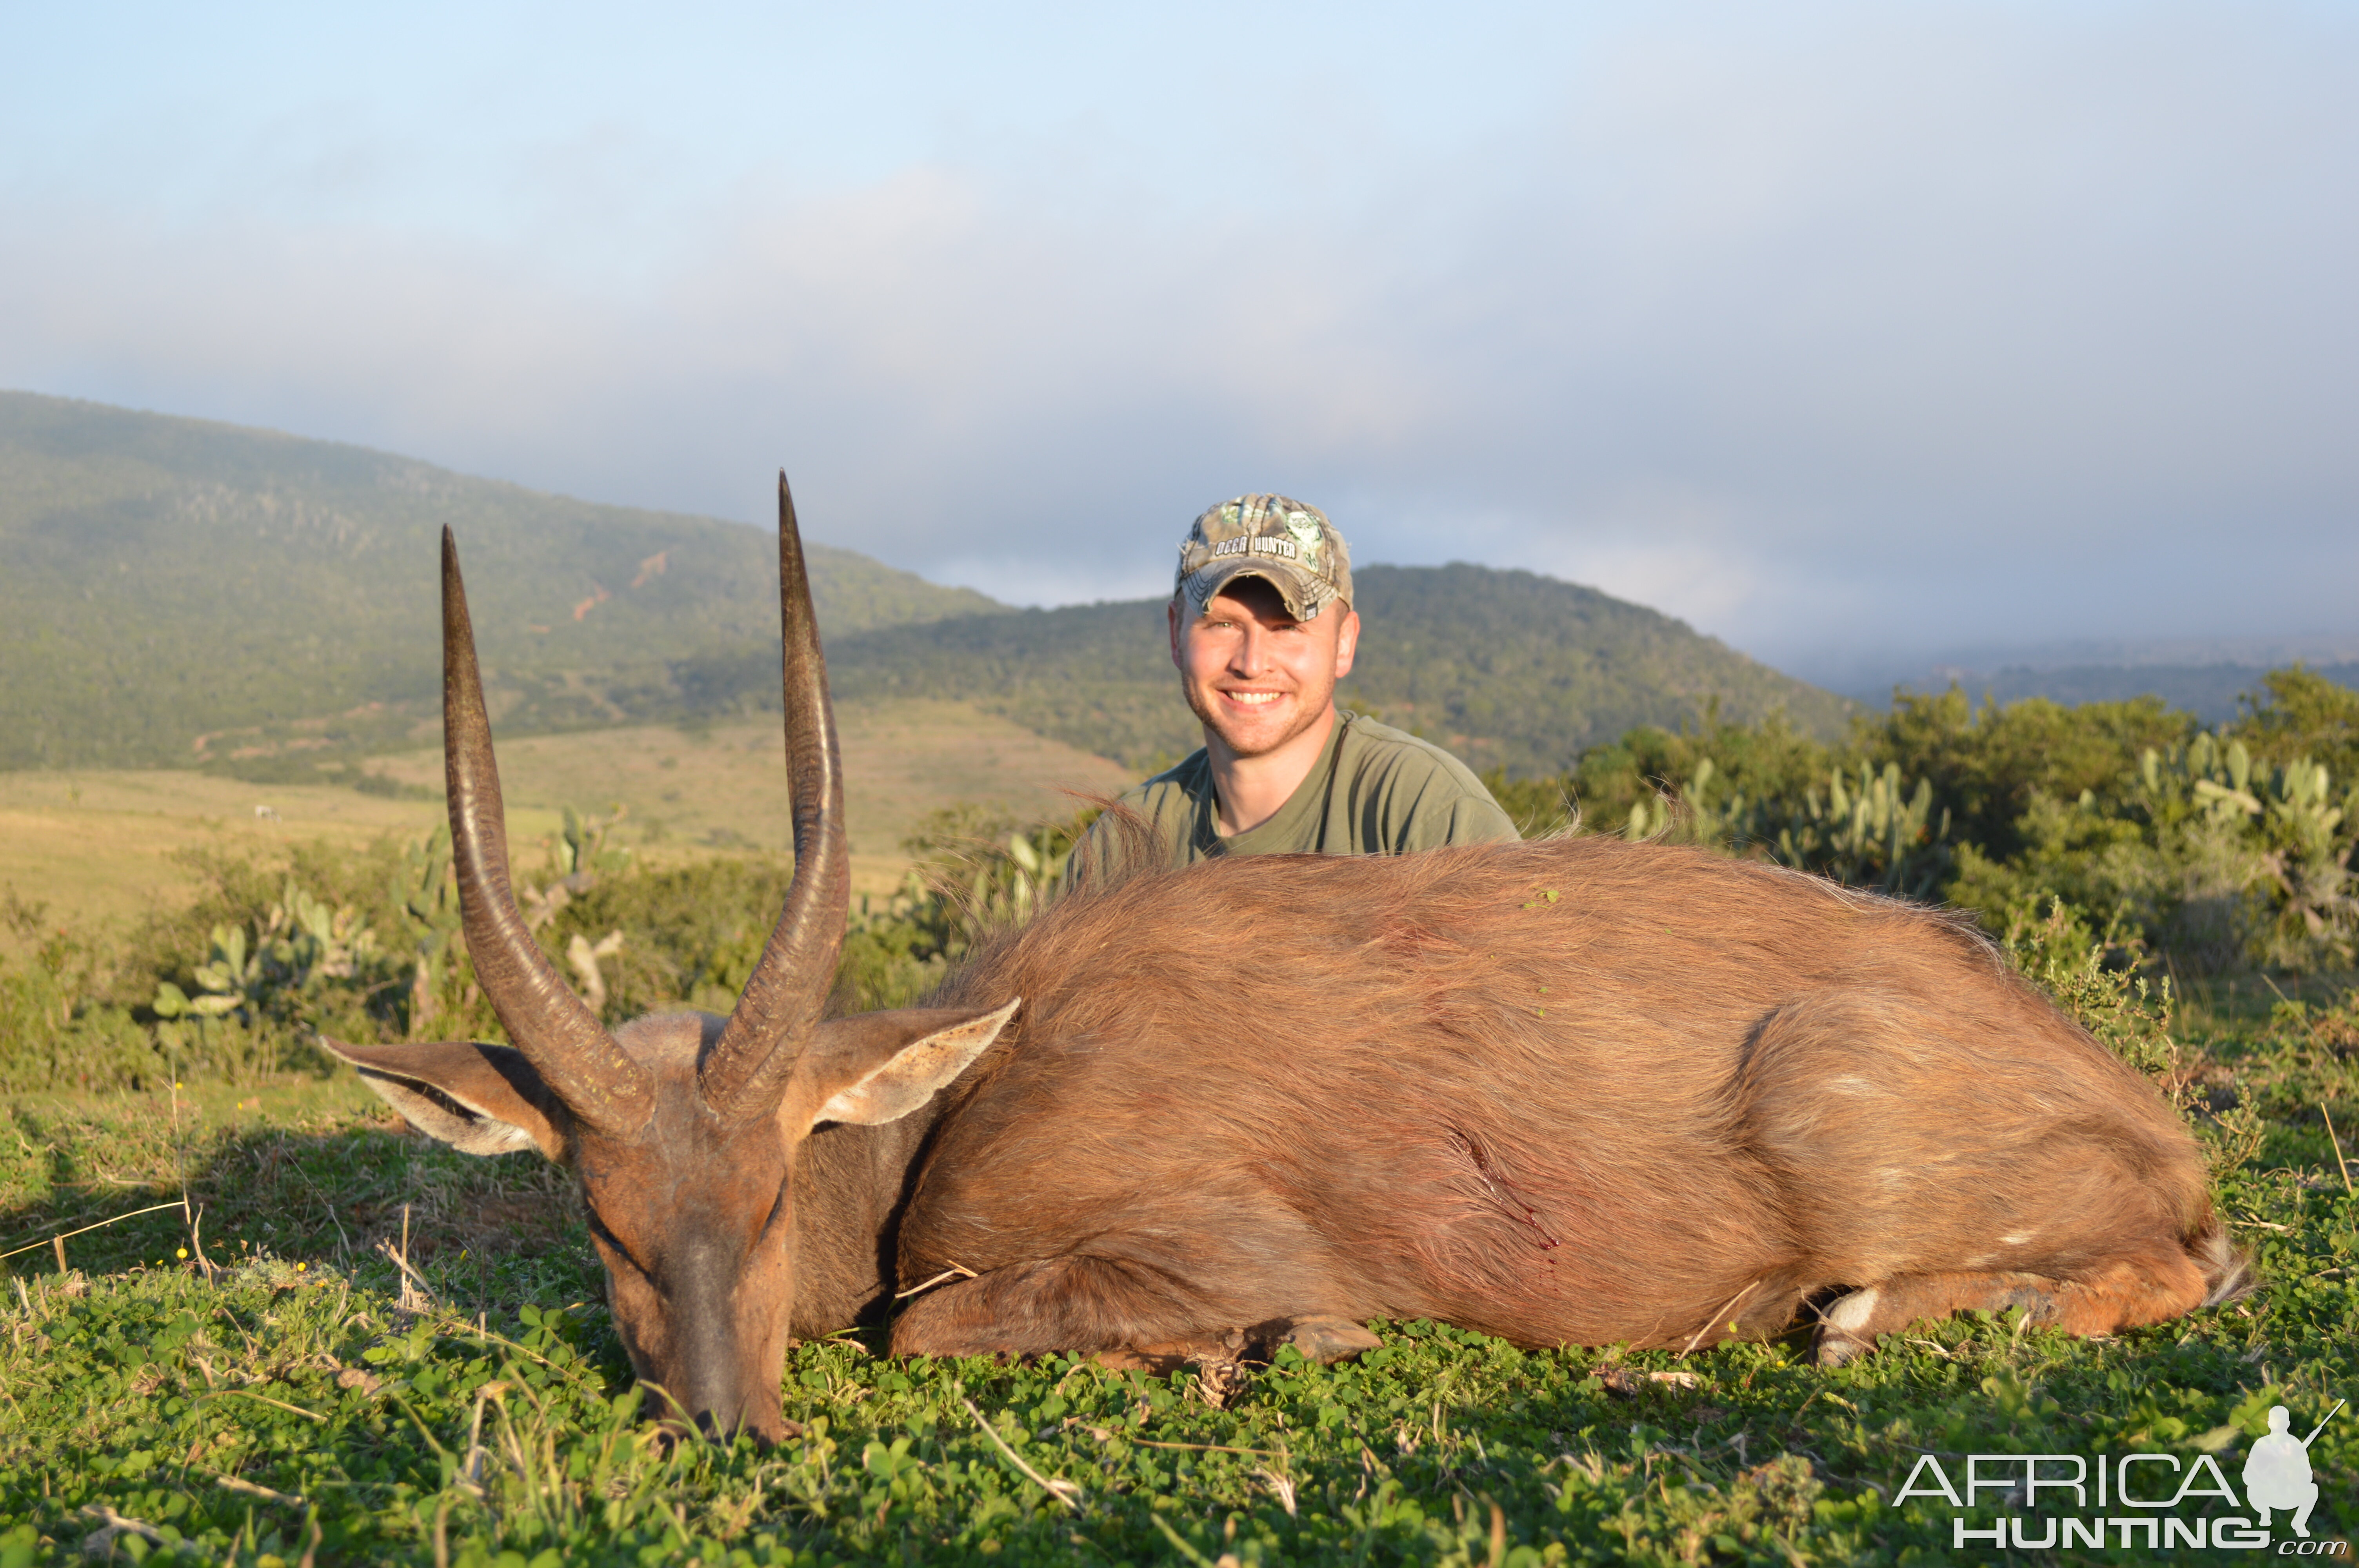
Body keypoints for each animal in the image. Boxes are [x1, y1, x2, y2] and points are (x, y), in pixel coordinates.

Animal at [323, 476, 2236, 1443]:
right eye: (600, 1216)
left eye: (780, 1184)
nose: (720, 1429)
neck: (976, 1077)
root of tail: (2143, 1114)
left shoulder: (1198, 1243)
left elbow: (937, 1325)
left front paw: (1250, 1352)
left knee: (2152, 1273)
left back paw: (1874, 1316)